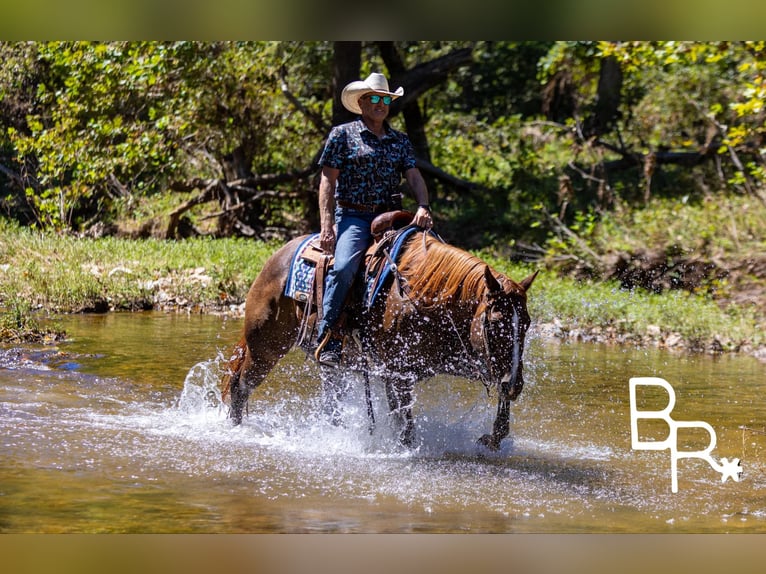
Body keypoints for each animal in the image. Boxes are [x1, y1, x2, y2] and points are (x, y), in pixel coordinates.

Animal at [221, 223, 537, 451]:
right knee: (241, 386)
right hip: (265, 347)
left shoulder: (457, 359)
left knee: (330, 404)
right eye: (496, 323)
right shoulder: (396, 374)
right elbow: (404, 426)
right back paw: (237, 431)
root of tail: (276, 258)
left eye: (526, 324)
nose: (515, 384)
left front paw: (492, 437)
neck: (423, 297)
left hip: (327, 364)